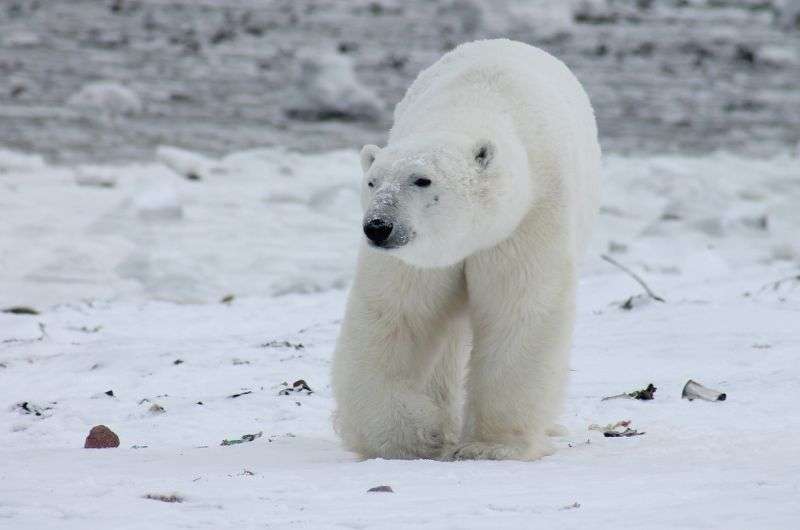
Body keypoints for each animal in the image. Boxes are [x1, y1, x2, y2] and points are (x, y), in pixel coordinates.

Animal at [330, 39, 600, 458]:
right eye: (373, 182)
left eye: (422, 180)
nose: (378, 227)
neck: (472, 104)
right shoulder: (418, 258)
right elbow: (397, 316)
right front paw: (411, 436)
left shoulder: (527, 220)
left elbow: (519, 311)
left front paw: (490, 446)